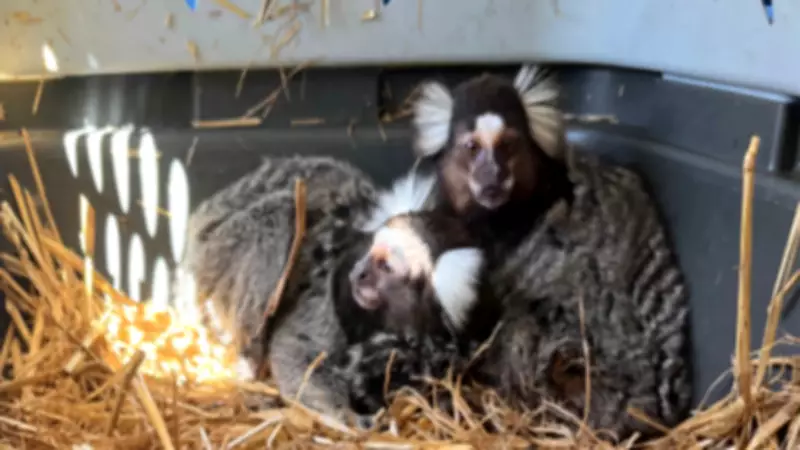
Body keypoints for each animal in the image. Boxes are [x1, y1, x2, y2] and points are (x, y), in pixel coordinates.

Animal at [177, 156, 486, 426]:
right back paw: (249, 369)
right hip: (216, 247)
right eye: (373, 253)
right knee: (280, 216)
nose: (360, 274)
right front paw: (348, 417)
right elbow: (293, 351)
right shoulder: (328, 293)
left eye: (385, 267)